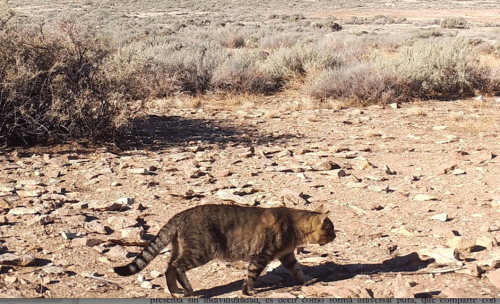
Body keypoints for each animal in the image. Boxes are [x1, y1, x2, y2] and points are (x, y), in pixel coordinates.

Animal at [113, 203, 336, 296]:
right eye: (331, 229)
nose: (336, 236)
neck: (293, 225)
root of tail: (179, 215)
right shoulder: (260, 256)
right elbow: (251, 276)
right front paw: (248, 291)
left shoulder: (287, 255)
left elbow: (298, 270)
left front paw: (306, 281)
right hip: (202, 250)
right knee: (177, 266)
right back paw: (187, 289)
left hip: (182, 248)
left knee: (169, 268)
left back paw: (176, 292)